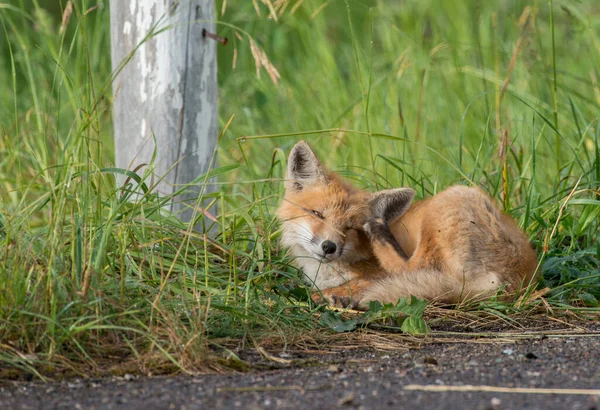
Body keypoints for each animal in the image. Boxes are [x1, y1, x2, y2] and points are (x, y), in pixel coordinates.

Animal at [276, 140, 540, 308]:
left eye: (351, 228)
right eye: (317, 214)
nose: (329, 247)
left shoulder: (373, 273)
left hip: (445, 205)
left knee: (410, 268)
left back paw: (379, 236)